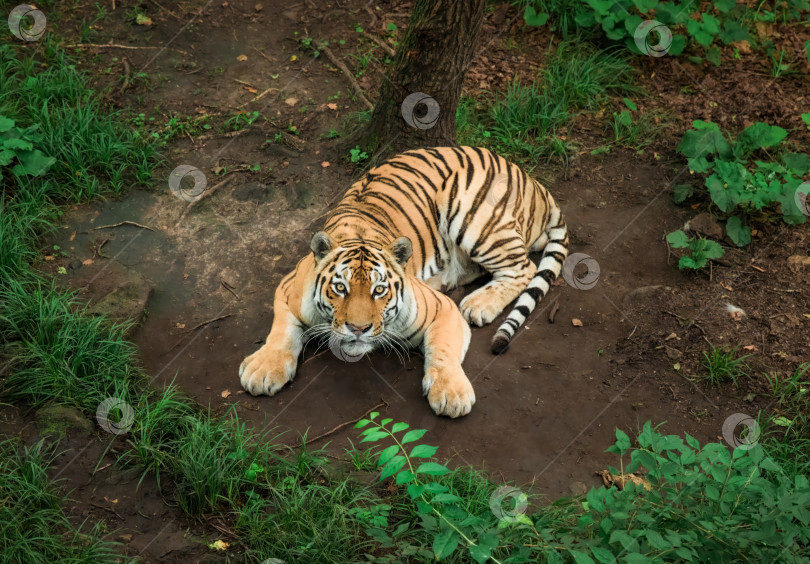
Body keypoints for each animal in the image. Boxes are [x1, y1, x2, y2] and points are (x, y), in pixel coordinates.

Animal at [240, 145, 568, 418]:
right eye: (340, 288)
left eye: (379, 290)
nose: (358, 329)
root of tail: (533, 181)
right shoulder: (287, 288)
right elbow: (281, 331)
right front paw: (262, 369)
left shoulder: (443, 310)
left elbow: (443, 350)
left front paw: (451, 394)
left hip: (469, 210)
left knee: (523, 267)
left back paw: (478, 304)